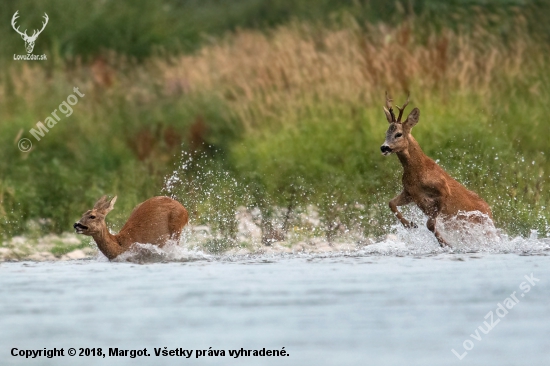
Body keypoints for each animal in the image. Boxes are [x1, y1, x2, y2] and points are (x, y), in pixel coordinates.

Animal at [382, 92, 494, 246]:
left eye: (398, 134)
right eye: (386, 133)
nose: (384, 147)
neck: (418, 171)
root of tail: (490, 211)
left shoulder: (443, 190)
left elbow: (430, 224)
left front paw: (445, 244)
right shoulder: (410, 193)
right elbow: (391, 203)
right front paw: (410, 225)